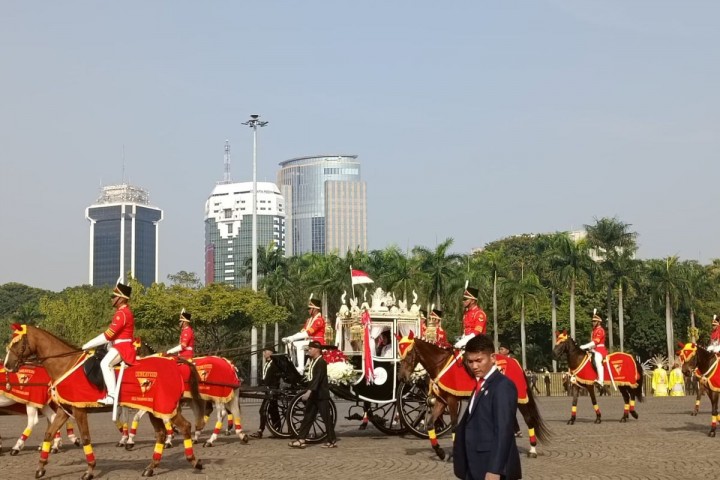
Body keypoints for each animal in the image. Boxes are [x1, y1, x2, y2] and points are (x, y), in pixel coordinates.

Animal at [4, 324, 204, 478]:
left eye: (17, 343)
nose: (7, 366)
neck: (65, 364)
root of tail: (174, 363)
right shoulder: (65, 410)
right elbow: (49, 433)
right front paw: (40, 468)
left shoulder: (79, 410)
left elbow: (86, 438)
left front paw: (90, 470)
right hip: (153, 409)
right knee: (161, 434)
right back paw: (151, 467)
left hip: (164, 406)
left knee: (185, 426)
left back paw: (194, 461)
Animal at [396, 334, 548, 462]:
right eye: (399, 353)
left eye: (408, 353)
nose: (402, 378)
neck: (441, 364)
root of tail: (517, 363)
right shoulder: (440, 401)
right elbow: (429, 424)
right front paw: (440, 452)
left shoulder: (452, 400)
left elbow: (454, 426)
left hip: (520, 399)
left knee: (529, 420)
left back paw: (532, 450)